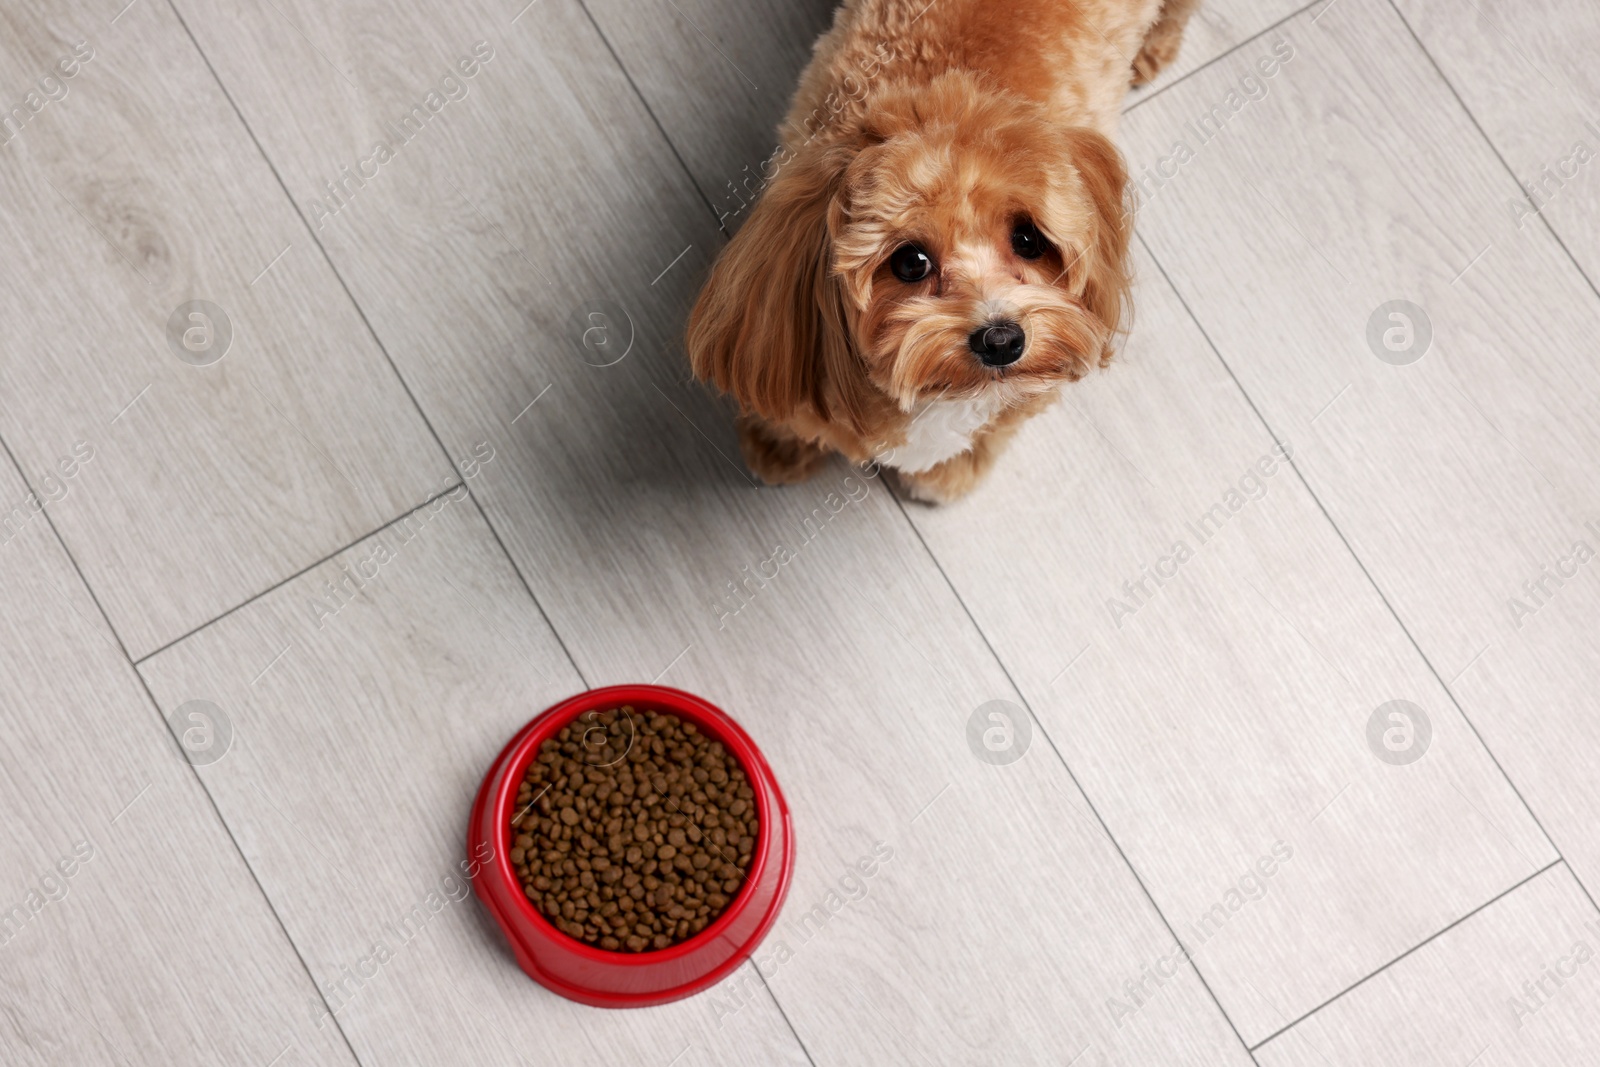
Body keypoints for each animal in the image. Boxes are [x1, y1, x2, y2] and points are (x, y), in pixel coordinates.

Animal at [681, 0, 1196, 502]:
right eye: (911, 263)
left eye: (1028, 240)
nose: (1001, 340)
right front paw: (780, 441)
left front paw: (950, 471)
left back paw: (1156, 44)